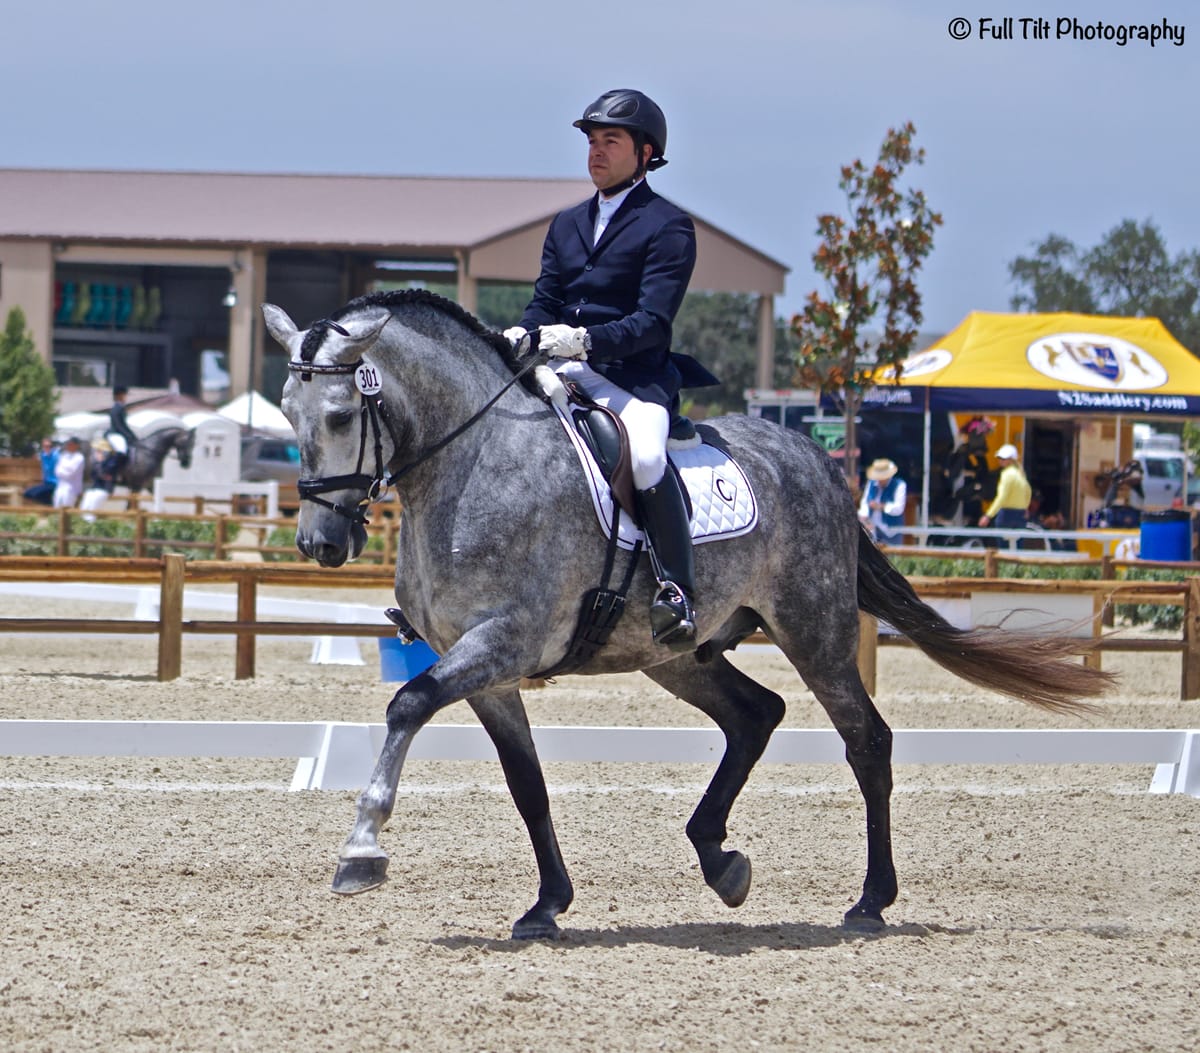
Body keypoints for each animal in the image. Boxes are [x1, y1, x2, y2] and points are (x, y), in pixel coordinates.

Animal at [263, 289, 1113, 940]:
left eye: (339, 414)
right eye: (286, 411)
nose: (320, 543)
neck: (472, 463)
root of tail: (818, 461)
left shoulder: (503, 641)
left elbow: (406, 703)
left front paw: (362, 849)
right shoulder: (486, 668)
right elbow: (526, 783)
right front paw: (547, 905)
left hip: (812, 629)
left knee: (866, 739)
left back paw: (869, 901)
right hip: (678, 653)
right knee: (755, 714)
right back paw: (721, 860)